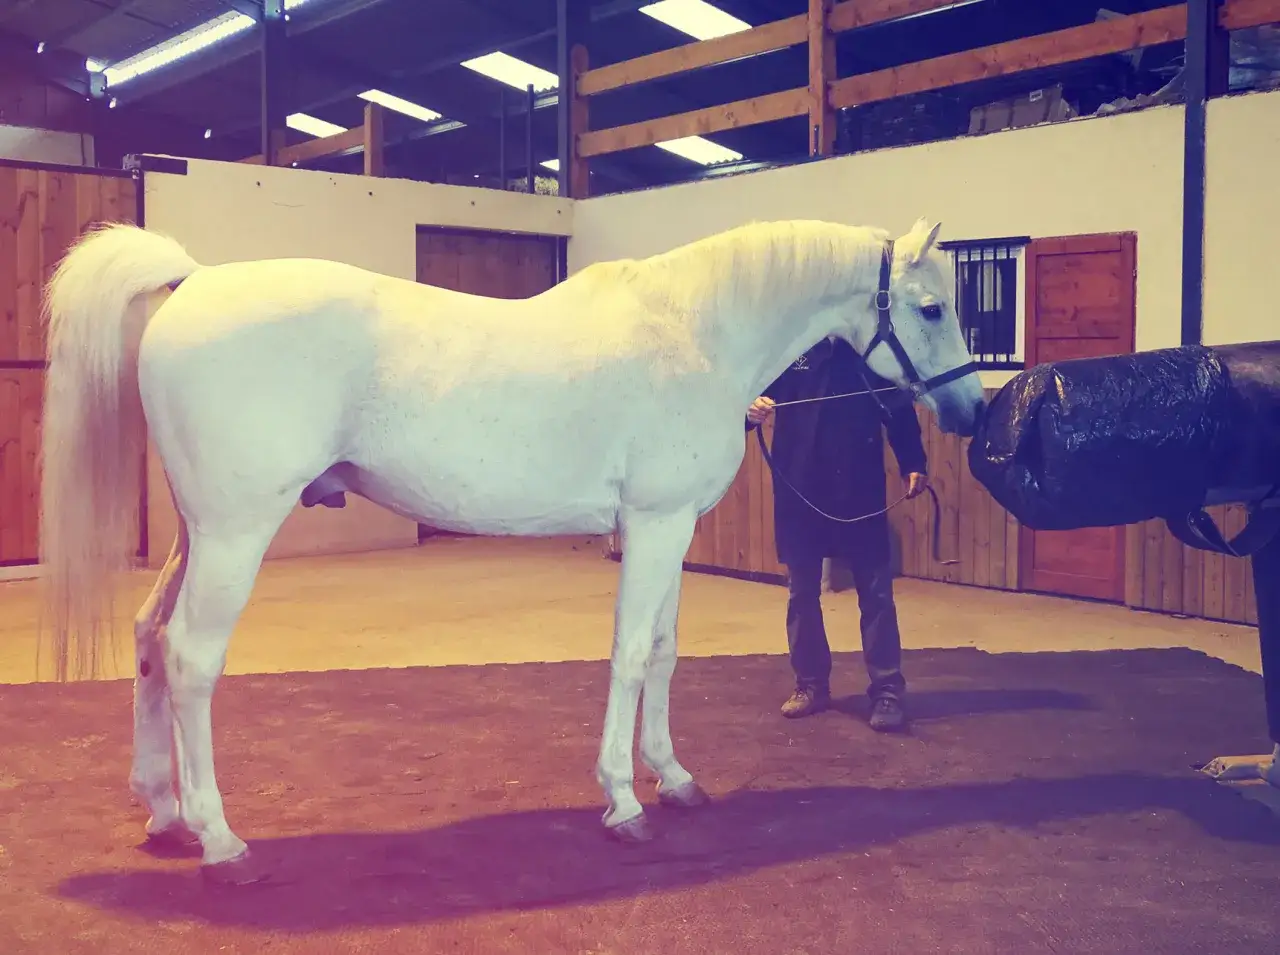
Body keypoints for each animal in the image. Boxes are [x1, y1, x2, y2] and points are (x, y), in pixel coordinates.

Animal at [38, 215, 986, 884]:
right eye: (931, 307)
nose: (971, 411)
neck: (695, 331)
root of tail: (194, 279)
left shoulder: (673, 524)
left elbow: (666, 651)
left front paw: (674, 777)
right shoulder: (652, 524)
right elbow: (630, 654)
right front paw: (623, 801)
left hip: (197, 534)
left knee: (149, 638)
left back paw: (163, 812)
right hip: (236, 534)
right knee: (191, 659)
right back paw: (221, 838)